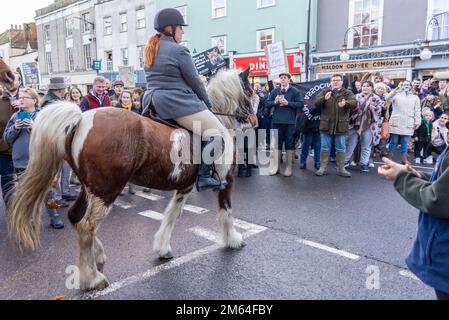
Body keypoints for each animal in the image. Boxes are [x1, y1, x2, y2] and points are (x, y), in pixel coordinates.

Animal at [7, 69, 254, 292]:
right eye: (250, 91)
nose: (253, 120)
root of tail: (80, 120)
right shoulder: (226, 180)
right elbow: (226, 211)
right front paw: (233, 239)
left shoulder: (183, 185)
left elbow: (172, 215)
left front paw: (163, 248)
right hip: (107, 190)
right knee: (87, 227)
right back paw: (91, 279)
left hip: (90, 188)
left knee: (76, 218)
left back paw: (98, 258)